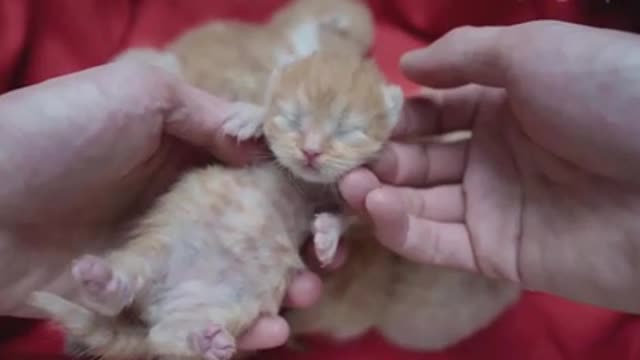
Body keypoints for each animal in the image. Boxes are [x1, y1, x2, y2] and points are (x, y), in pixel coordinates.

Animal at [27, 50, 402, 360]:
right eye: (292, 119)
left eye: (347, 130)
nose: (311, 151)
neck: (306, 183)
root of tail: (156, 307)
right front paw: (250, 115)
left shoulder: (360, 192)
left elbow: (352, 215)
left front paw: (327, 232)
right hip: (152, 252)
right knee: (127, 282)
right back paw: (101, 281)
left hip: (216, 306)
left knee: (167, 338)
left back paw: (202, 342)